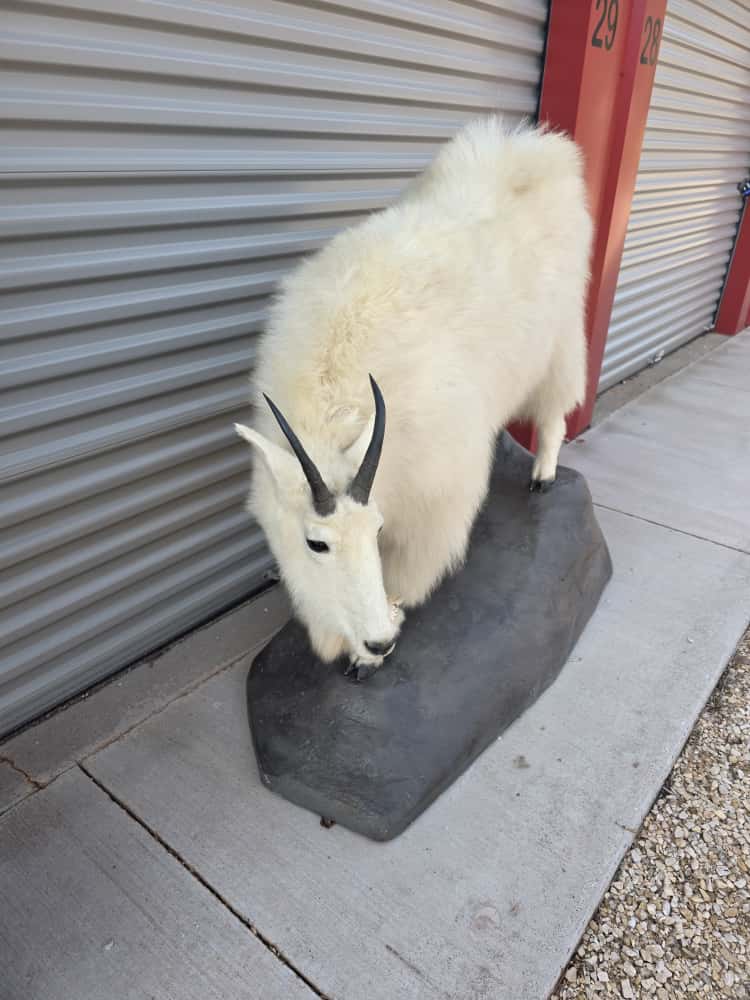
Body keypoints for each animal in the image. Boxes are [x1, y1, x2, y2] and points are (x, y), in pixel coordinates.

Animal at [236, 116, 592, 678]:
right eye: (317, 542)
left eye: (378, 529)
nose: (378, 641)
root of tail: (539, 152)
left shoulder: (435, 500)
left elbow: (406, 575)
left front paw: (370, 655)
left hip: (561, 338)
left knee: (556, 409)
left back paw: (544, 474)